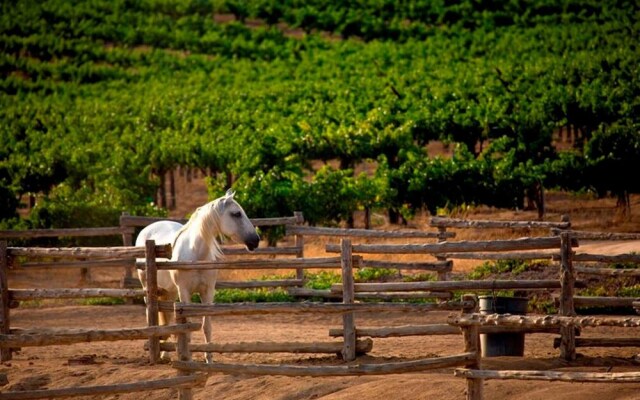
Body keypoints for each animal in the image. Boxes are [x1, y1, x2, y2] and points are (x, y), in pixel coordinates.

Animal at [136, 188, 260, 362]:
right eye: (236, 214)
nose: (256, 240)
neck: (195, 255)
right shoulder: (184, 293)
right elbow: (186, 327)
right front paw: (187, 359)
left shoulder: (207, 292)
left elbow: (206, 326)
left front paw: (209, 359)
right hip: (149, 289)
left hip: (170, 292)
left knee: (167, 318)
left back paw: (165, 354)